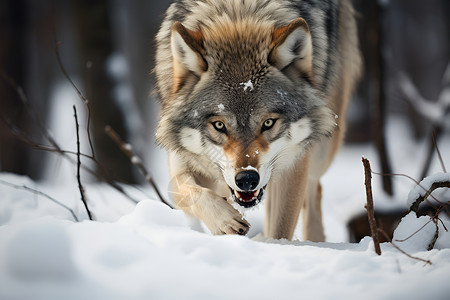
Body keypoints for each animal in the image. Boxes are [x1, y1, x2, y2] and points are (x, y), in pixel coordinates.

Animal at [155, 0, 362, 240]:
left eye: (268, 123)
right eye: (219, 125)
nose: (246, 179)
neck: (238, 14)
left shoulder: (293, 164)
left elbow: (280, 229)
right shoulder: (182, 159)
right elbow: (189, 191)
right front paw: (225, 221)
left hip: (320, 152)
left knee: (314, 193)